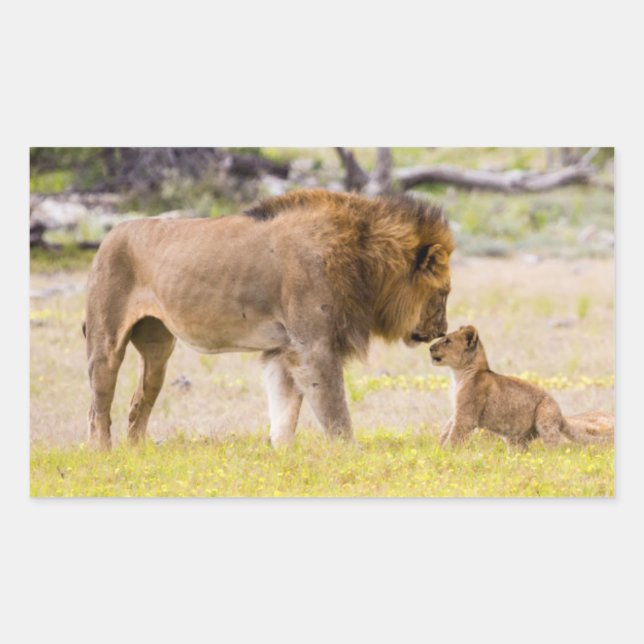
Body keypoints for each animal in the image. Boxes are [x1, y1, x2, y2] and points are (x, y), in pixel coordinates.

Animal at [84, 189, 454, 449]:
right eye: (444, 293)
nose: (442, 331)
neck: (365, 261)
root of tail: (110, 234)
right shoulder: (314, 348)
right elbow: (335, 410)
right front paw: (351, 454)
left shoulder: (283, 350)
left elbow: (284, 412)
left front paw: (281, 457)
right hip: (105, 342)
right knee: (97, 408)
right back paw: (104, 455)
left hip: (158, 348)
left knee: (139, 400)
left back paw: (137, 453)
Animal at [429, 325, 614, 448]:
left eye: (447, 341)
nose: (430, 348)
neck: (458, 374)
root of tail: (561, 415)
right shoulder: (458, 410)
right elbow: (447, 428)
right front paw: (438, 447)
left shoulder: (467, 416)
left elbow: (454, 435)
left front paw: (445, 453)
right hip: (516, 438)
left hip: (545, 416)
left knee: (556, 446)